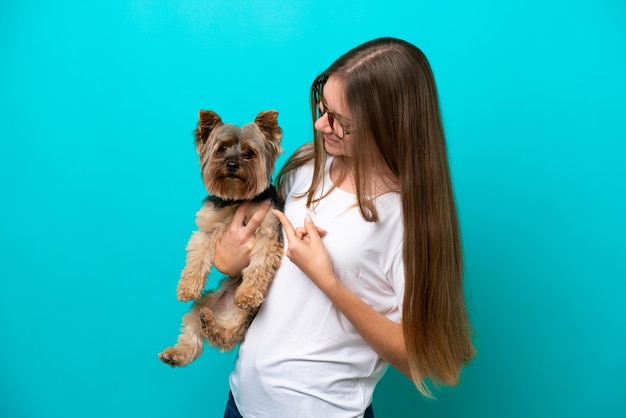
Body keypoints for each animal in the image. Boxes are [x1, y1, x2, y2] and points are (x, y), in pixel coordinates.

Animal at [158, 110, 282, 366]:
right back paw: (177, 352)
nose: (232, 164)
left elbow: (259, 267)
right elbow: (196, 257)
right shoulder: (207, 227)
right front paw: (187, 288)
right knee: (193, 332)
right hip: (204, 303)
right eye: (222, 149)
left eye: (249, 152)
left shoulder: (268, 232)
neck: (237, 198)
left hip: (244, 315)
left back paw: (216, 326)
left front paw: (248, 294)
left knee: (227, 334)